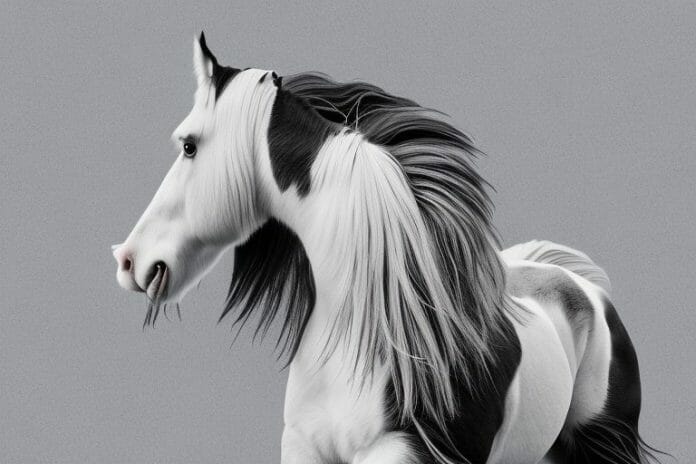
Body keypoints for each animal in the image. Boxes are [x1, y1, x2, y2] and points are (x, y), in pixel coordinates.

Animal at [112, 33, 659, 464]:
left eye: (188, 145)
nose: (129, 260)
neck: (370, 327)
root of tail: (581, 286)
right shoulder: (304, 449)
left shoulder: (400, 451)